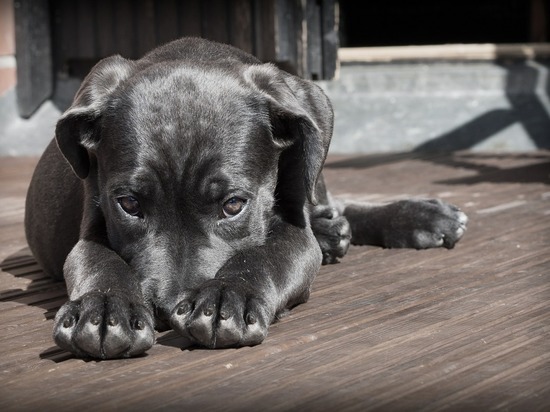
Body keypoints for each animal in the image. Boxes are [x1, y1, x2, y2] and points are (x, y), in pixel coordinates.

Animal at [23, 39, 468, 360]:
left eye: (233, 205)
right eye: (129, 205)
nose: (166, 310)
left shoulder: (294, 231)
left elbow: (264, 255)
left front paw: (226, 296)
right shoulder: (92, 222)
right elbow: (98, 260)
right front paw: (103, 309)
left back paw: (418, 217)